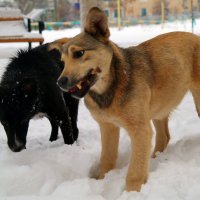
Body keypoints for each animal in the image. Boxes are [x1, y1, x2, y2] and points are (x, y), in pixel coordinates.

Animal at [56, 7, 200, 192]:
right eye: (62, 62)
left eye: (79, 53)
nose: (60, 82)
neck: (111, 87)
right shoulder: (108, 127)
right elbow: (107, 159)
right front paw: (102, 180)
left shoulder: (140, 130)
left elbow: (135, 171)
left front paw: (132, 192)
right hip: (157, 110)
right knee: (164, 137)